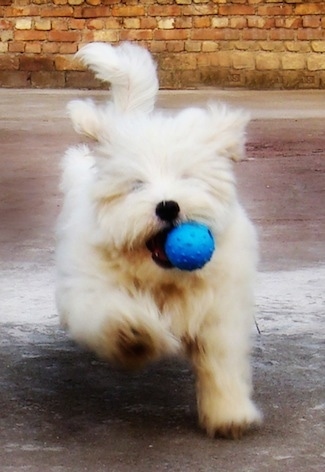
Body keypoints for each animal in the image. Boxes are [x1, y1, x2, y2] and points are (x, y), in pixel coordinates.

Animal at [55, 41, 262, 438]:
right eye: (136, 185)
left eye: (188, 178)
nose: (168, 206)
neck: (164, 280)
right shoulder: (93, 287)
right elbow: (110, 311)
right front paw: (134, 333)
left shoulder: (219, 308)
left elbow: (221, 361)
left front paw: (229, 413)